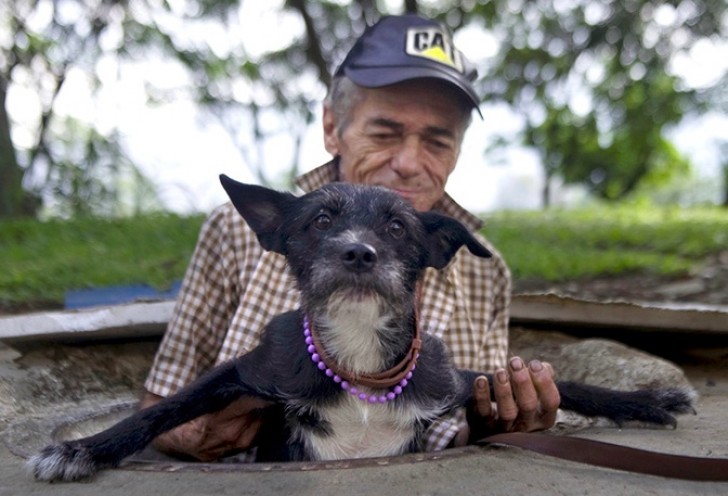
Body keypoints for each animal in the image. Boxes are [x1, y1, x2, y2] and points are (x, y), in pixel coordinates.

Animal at [28, 175, 696, 480]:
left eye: (398, 226)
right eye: (321, 220)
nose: (358, 253)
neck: (358, 359)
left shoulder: (452, 379)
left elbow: (569, 384)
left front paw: (646, 400)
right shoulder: (248, 370)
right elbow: (158, 411)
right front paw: (80, 449)